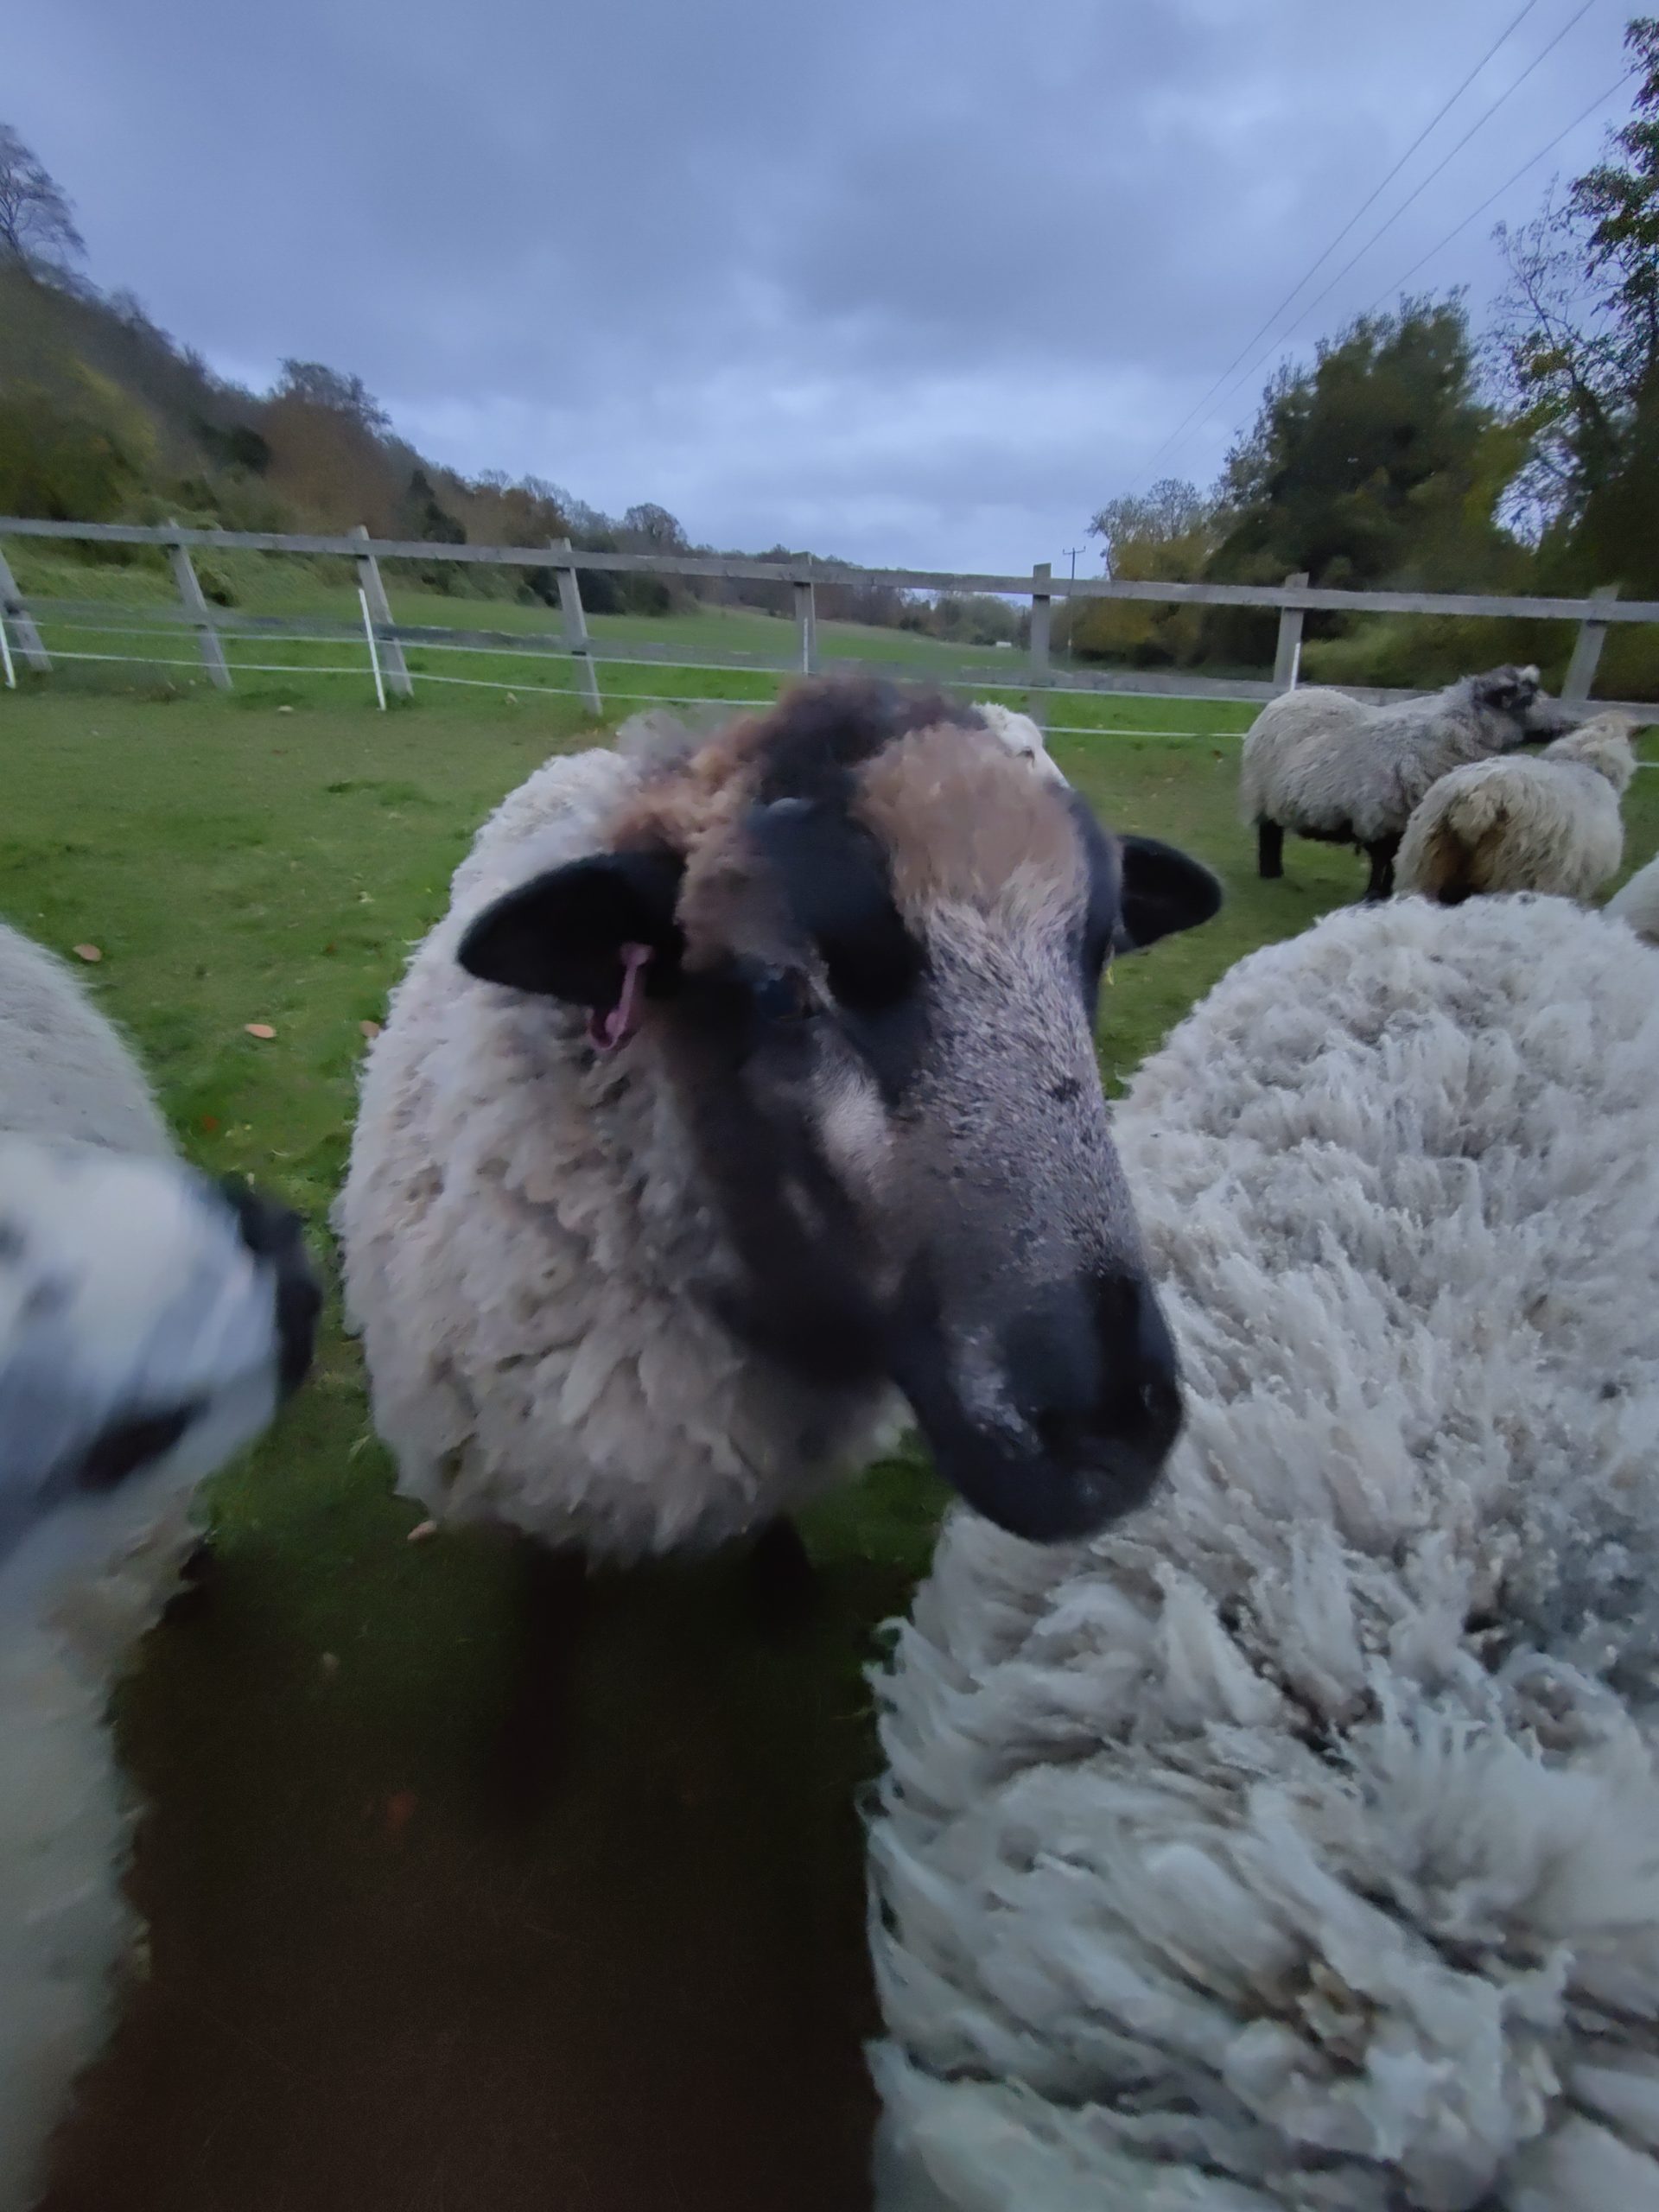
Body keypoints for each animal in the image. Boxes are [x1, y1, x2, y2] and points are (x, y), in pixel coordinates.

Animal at [1239, 665, 1579, 901]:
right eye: (1527, 699)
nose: (1570, 724)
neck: (1448, 735)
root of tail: (1293, 695)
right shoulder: (1380, 814)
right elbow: (1381, 859)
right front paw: (1372, 896)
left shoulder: (1406, 820)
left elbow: (1394, 859)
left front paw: (1384, 894)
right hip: (1261, 792)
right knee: (1270, 834)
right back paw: (1270, 872)